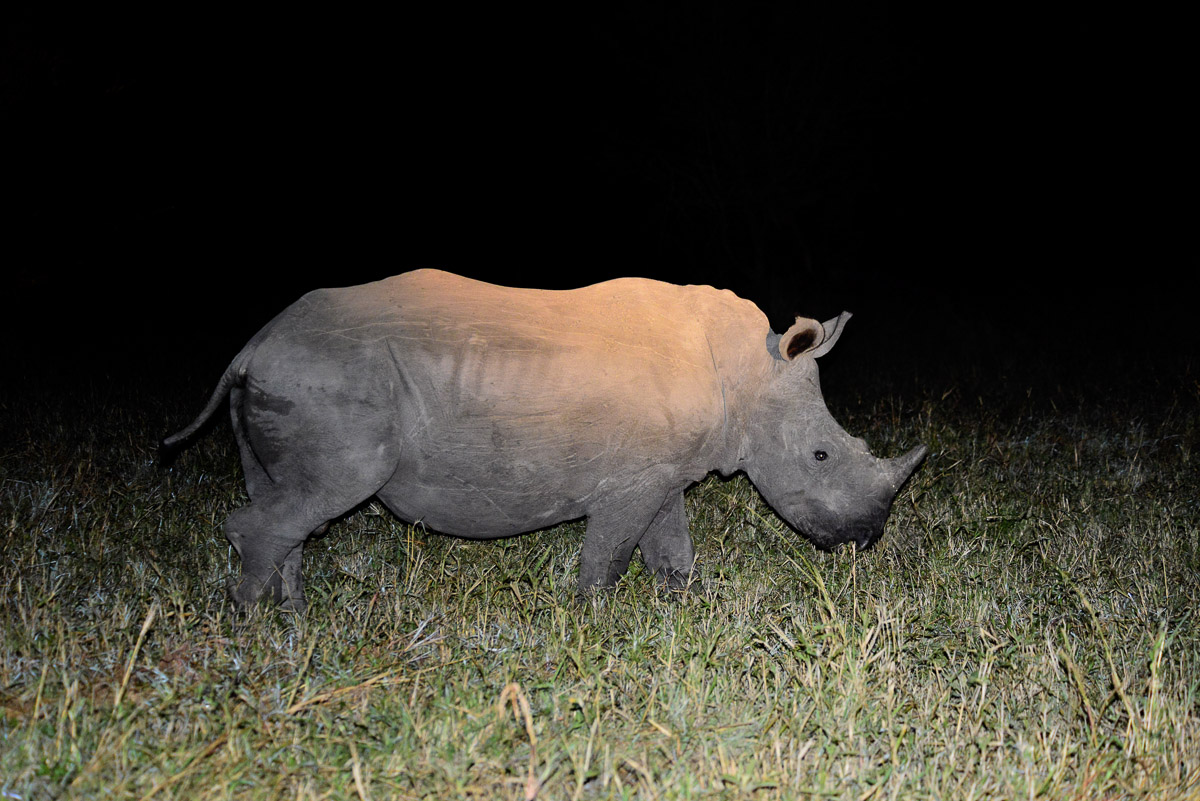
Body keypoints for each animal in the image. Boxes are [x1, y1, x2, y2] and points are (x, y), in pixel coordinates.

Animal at [162, 269, 926, 610]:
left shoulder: (662, 471)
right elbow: (610, 555)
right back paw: (259, 627)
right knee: (324, 493)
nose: (864, 540)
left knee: (296, 503)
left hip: (294, 377)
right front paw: (593, 621)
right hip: (330, 384)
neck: (747, 371)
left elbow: (671, 548)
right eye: (822, 456)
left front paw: (683, 609)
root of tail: (254, 345)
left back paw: (291, 615)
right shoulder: (632, 479)